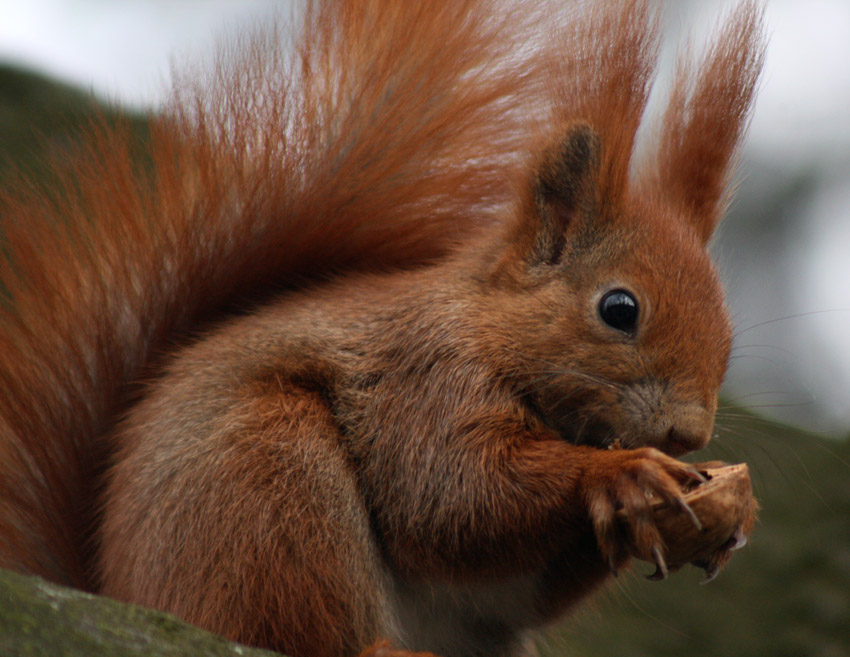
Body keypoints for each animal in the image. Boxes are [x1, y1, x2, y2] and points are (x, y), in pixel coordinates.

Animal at [0, 1, 764, 656]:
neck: (487, 331)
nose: (688, 432)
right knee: (295, 627)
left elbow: (511, 582)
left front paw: (718, 510)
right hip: (267, 485)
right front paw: (624, 471)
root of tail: (122, 585)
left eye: (729, 337)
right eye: (619, 309)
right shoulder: (422, 380)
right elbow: (454, 499)